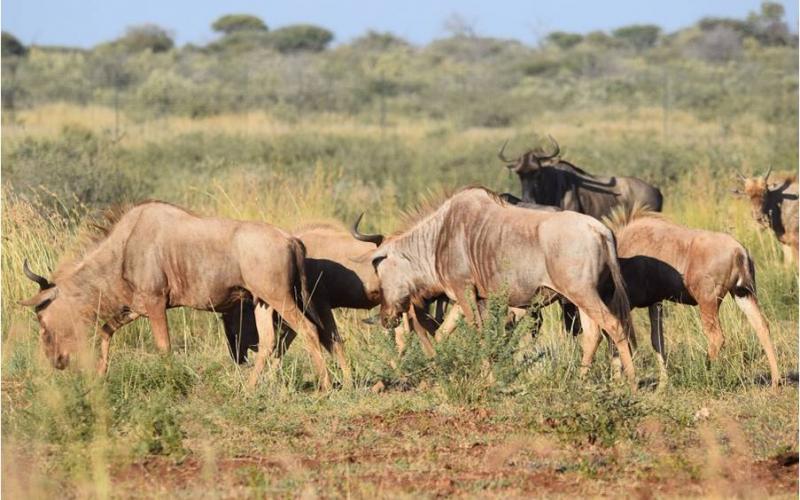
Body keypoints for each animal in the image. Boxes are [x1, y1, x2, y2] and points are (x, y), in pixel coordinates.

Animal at [19, 201, 338, 390]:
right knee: (270, 342)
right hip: (263, 302)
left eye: (42, 321)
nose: (56, 361)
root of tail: (291, 239)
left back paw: (324, 386)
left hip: (282, 300)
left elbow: (164, 347)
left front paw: (170, 382)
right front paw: (99, 375)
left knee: (309, 330)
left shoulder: (156, 304)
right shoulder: (136, 307)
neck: (124, 248)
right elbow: (107, 331)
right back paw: (248, 389)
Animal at [358, 186, 638, 387]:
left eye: (379, 271)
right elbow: (450, 334)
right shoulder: (472, 298)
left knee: (614, 327)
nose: (386, 318)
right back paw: (580, 381)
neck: (437, 239)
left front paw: (487, 379)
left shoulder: (464, 292)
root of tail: (600, 229)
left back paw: (632, 382)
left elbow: (481, 335)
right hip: (589, 297)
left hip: (583, 295)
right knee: (594, 335)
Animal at [606, 206, 780, 388]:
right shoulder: (656, 301)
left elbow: (616, 337)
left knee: (717, 337)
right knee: (762, 326)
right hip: (743, 294)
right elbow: (657, 340)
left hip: (708, 303)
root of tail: (739, 251)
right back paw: (775, 380)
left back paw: (705, 373)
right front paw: (662, 384)